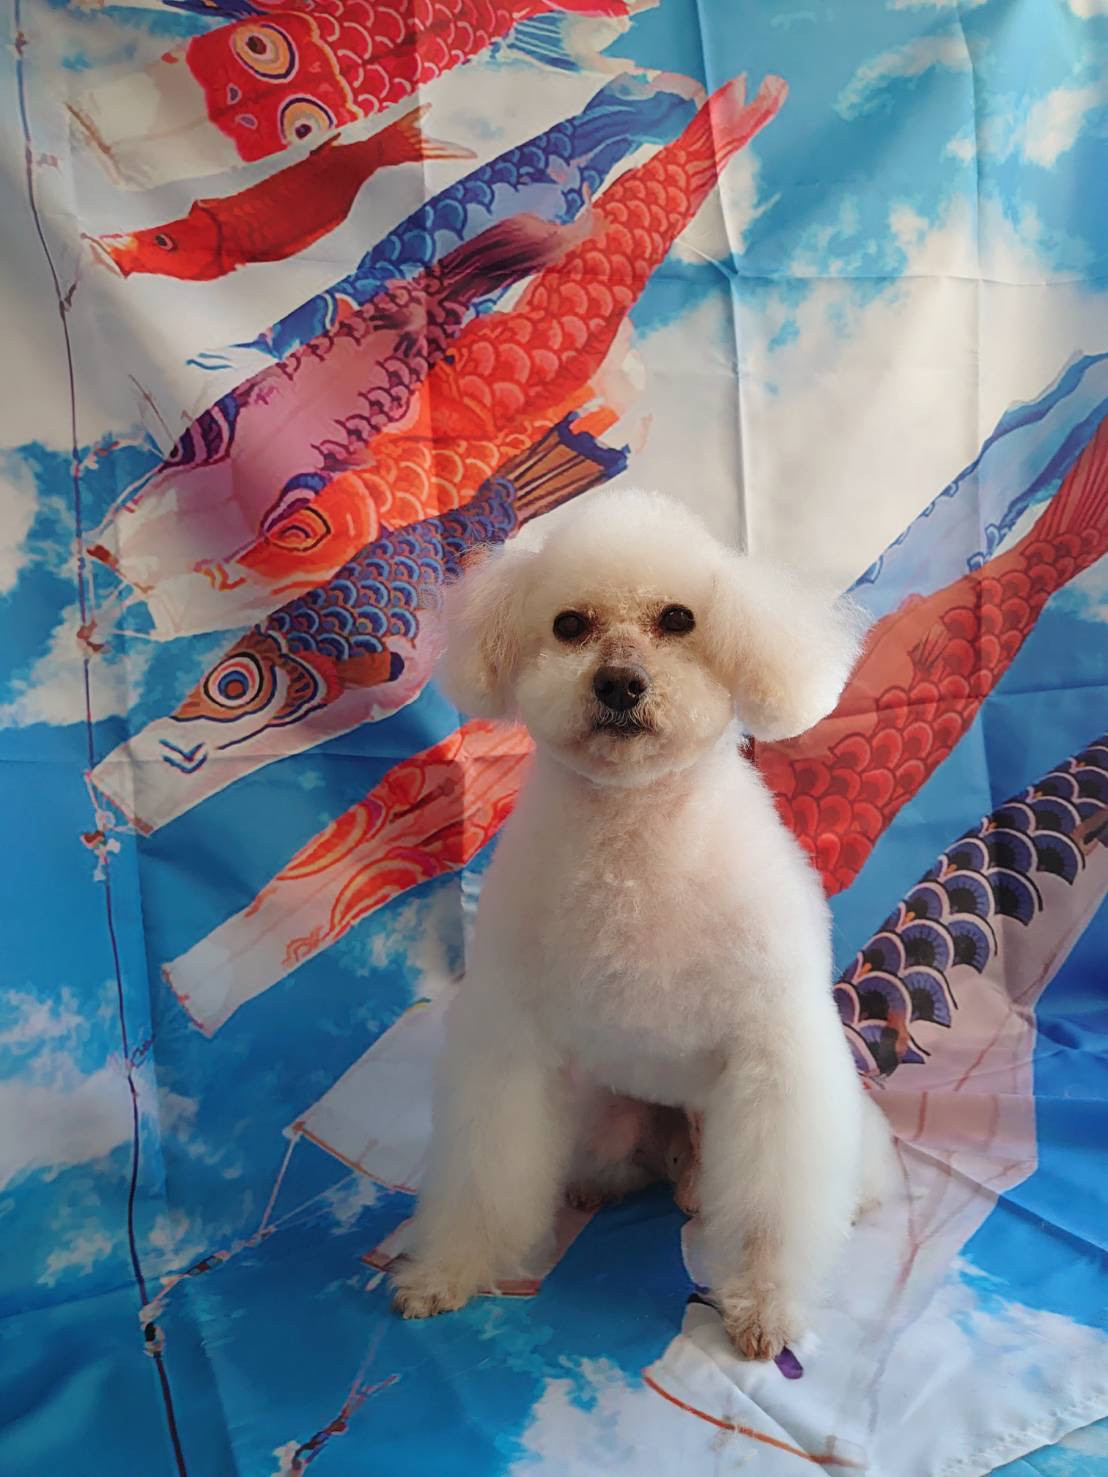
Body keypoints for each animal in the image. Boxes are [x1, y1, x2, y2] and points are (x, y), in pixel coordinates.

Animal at [391, 488, 896, 1360]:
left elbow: (774, 1202)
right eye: (569, 624)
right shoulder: (508, 1036)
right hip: (603, 1112)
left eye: (678, 619)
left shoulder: (776, 1046)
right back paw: (602, 1183)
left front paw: (764, 1302)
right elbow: (486, 1170)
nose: (621, 683)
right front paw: (450, 1268)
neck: (635, 847)